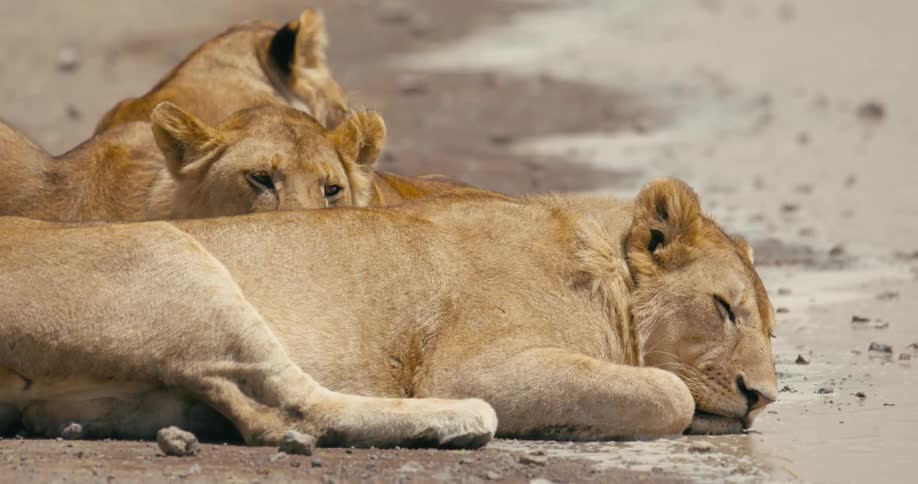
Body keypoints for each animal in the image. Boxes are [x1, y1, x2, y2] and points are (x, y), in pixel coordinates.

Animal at [0, 179, 776, 447]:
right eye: (723, 309)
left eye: (771, 329)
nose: (763, 397)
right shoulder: (477, 362)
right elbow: (672, 393)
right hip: (173, 255)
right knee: (291, 409)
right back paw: (457, 422)